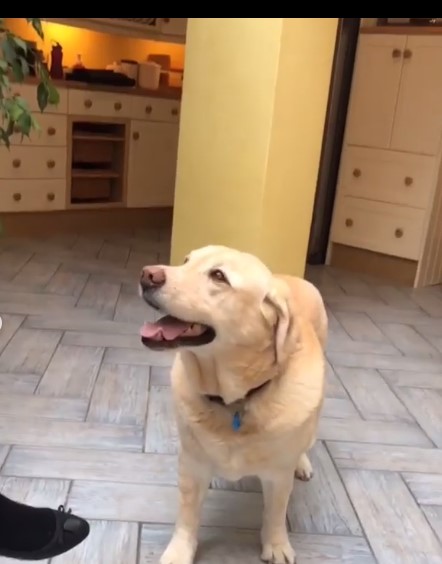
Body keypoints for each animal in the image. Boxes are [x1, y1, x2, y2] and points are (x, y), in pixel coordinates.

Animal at [140, 246, 326, 564]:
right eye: (186, 261)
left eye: (218, 276)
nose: (147, 275)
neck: (235, 401)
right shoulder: (192, 464)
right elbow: (187, 515)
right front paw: (180, 550)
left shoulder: (278, 476)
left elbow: (275, 513)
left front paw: (276, 545)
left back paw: (301, 463)